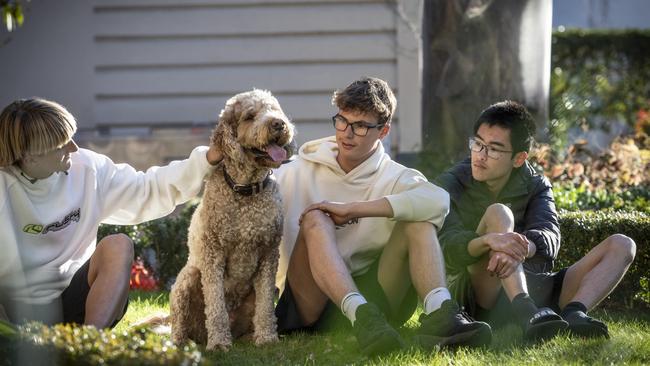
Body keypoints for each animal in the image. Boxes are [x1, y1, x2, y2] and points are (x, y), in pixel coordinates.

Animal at [171, 90, 294, 350]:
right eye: (249, 116)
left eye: (274, 110)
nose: (279, 124)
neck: (246, 191)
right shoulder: (212, 255)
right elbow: (216, 303)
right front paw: (219, 343)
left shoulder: (268, 252)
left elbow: (265, 305)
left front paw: (267, 338)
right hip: (188, 277)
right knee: (179, 324)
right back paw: (180, 343)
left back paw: (250, 337)